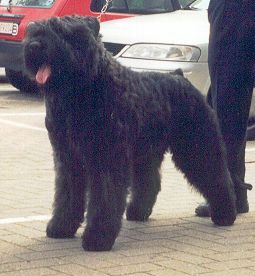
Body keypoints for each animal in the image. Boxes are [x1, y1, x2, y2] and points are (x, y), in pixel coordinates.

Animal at [22, 16, 236, 251]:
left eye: (64, 33)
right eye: (34, 30)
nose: (34, 46)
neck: (82, 91)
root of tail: (180, 77)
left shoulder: (106, 156)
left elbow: (104, 197)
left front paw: (98, 237)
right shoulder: (68, 157)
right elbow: (67, 194)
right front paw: (61, 226)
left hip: (196, 147)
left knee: (216, 175)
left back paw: (225, 214)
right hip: (146, 151)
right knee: (150, 181)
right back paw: (138, 212)